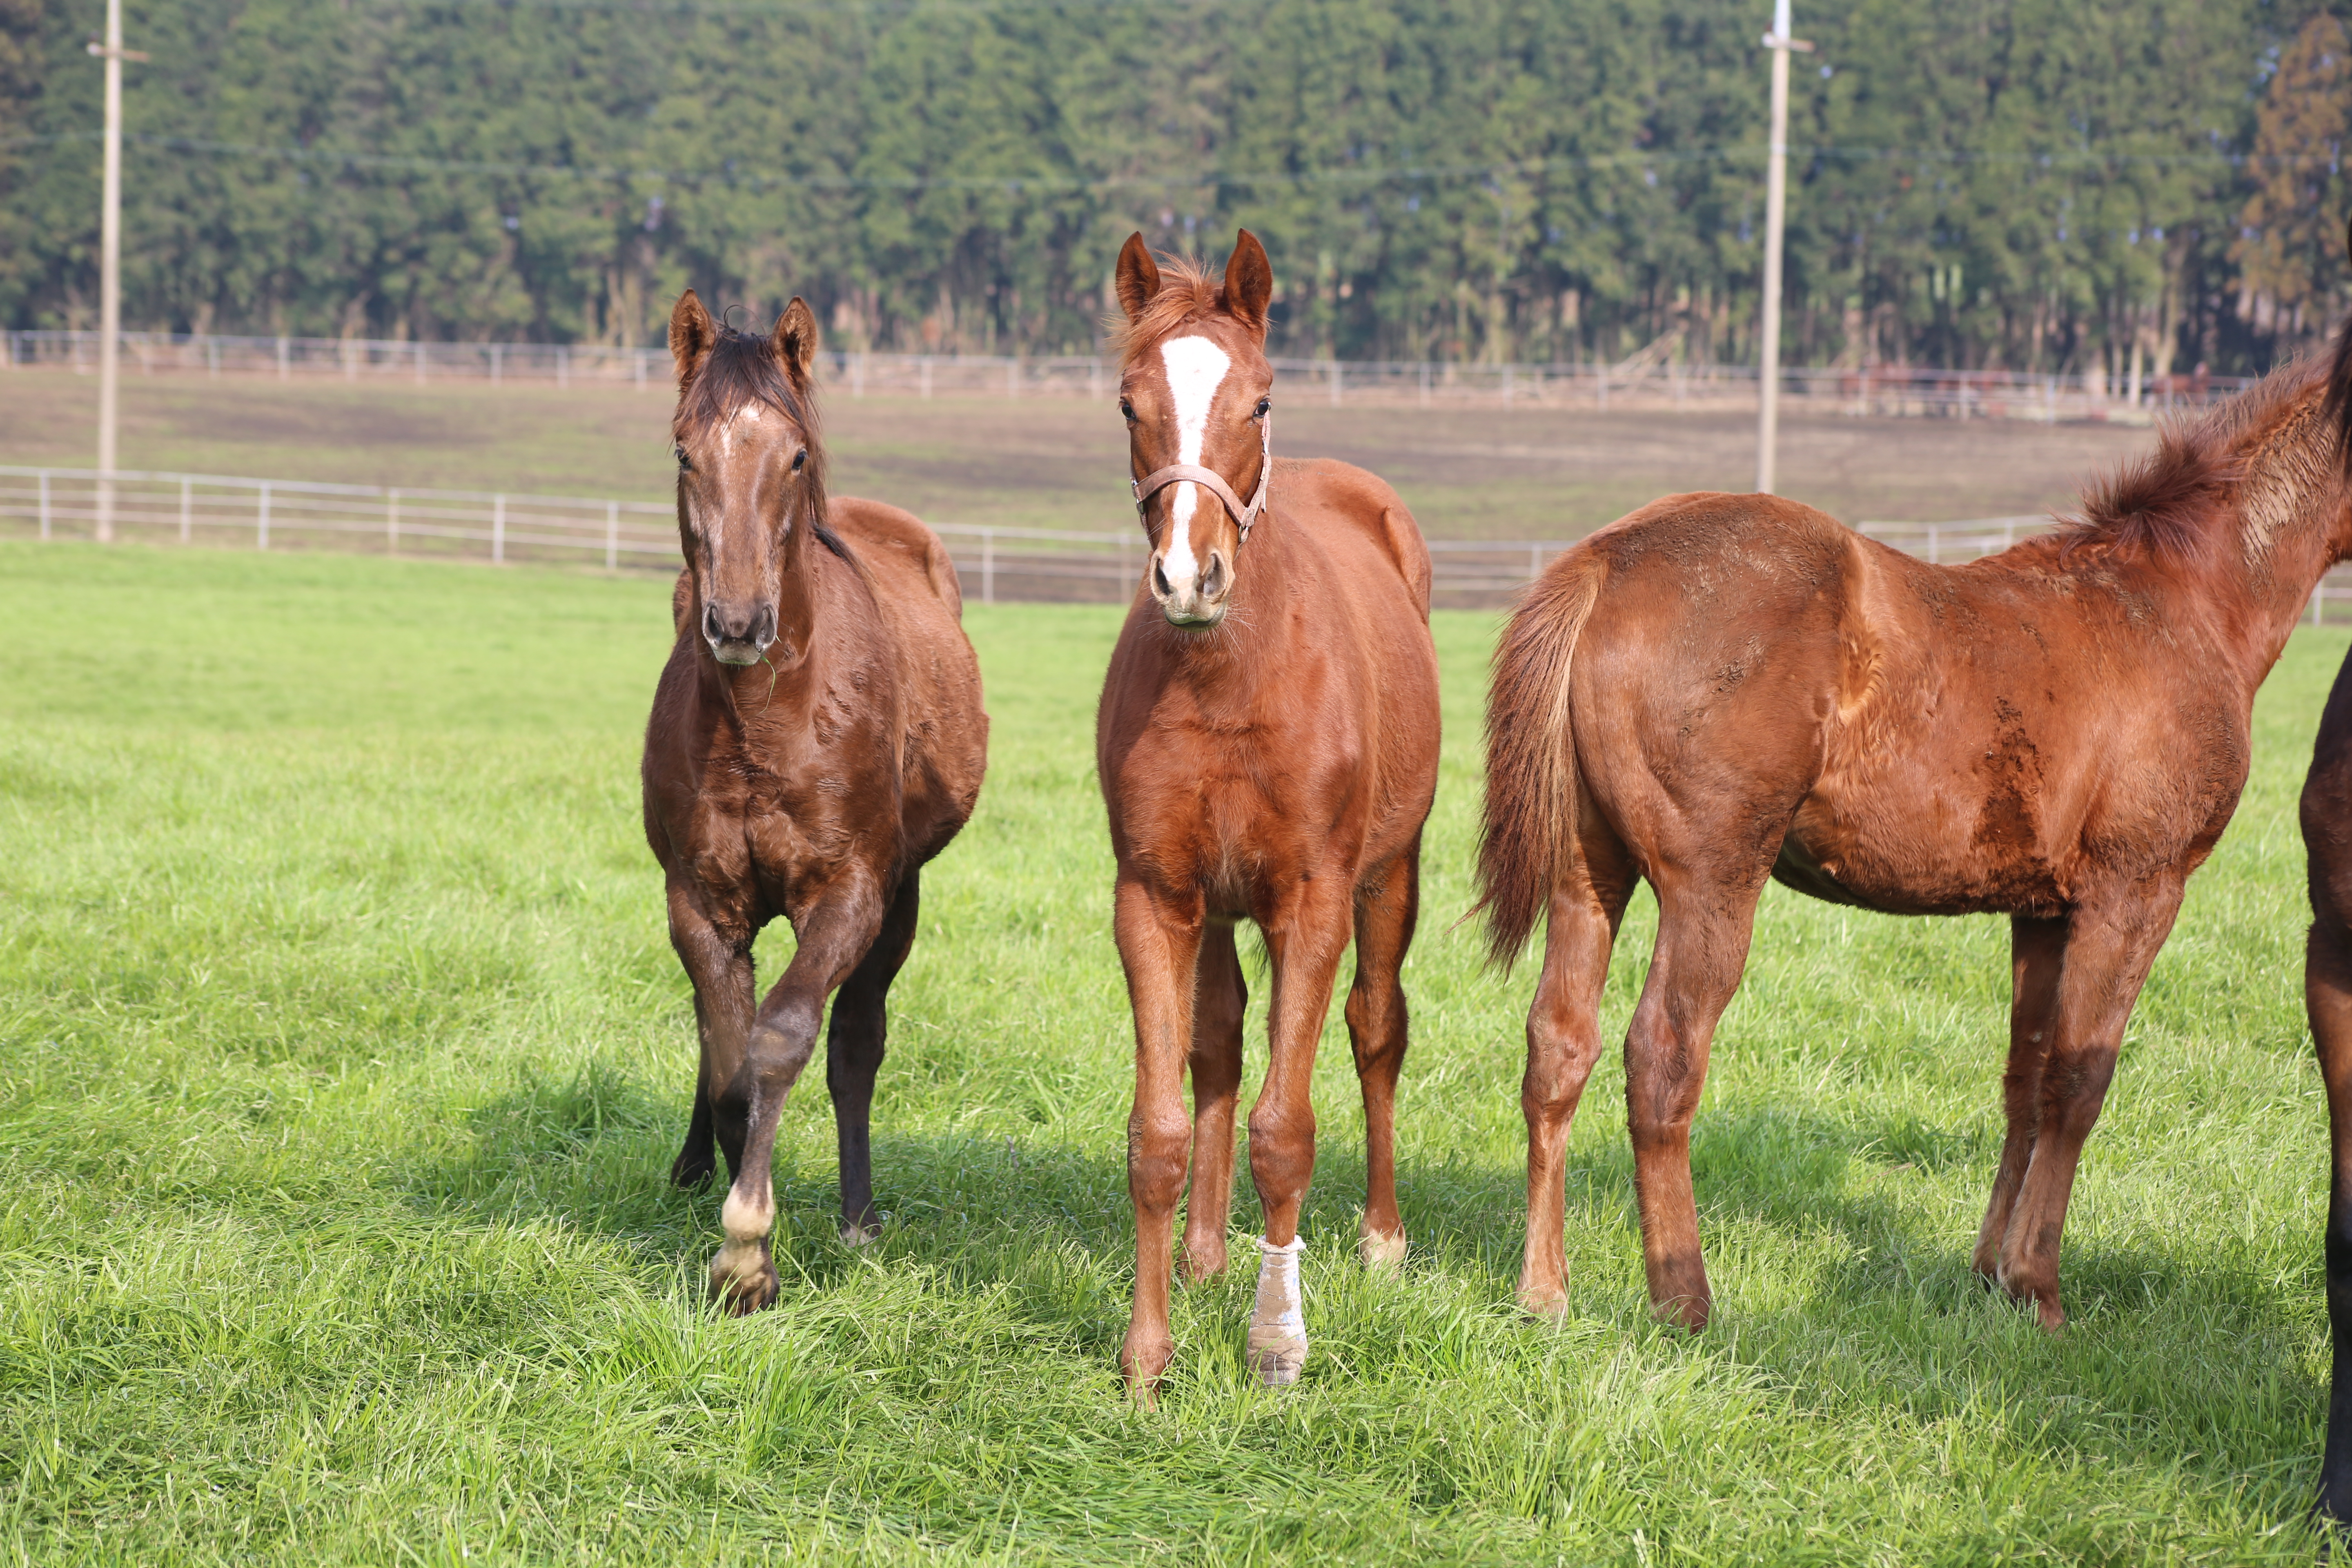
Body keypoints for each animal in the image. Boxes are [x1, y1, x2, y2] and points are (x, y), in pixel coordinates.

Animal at [639, 285, 988, 1316]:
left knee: (854, 1046)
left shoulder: (851, 894)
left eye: (794, 455)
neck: (767, 721)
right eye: (685, 450)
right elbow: (726, 1054)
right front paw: (724, 1194)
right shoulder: (698, 901)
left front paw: (747, 1251)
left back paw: (857, 1217)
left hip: (900, 900)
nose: (738, 621)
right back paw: (694, 1164)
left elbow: (786, 1038)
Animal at [1091, 227, 1439, 1392]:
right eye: (1129, 402)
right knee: (1219, 1043)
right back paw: (1204, 1253)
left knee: (1376, 1029)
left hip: (1391, 876)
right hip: (1212, 904)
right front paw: (1147, 1356)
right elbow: (1158, 1129)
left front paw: (1276, 1340)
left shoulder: (1311, 898)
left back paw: (1381, 1237)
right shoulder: (1155, 893)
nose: (1188, 577)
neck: (1227, 674)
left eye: (1260, 400)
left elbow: (1286, 1129)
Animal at [1477, 315, 2352, 1354]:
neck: (2185, 602)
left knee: (1556, 1047)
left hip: (1589, 876)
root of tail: (1606, 561)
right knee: (1660, 1056)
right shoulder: (2135, 890)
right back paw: (1684, 1300)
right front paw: (2039, 1287)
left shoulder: (2042, 910)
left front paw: (1988, 1273)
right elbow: (2080, 1080)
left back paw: (1543, 1293)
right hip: (1710, 882)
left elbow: (2025, 1077)